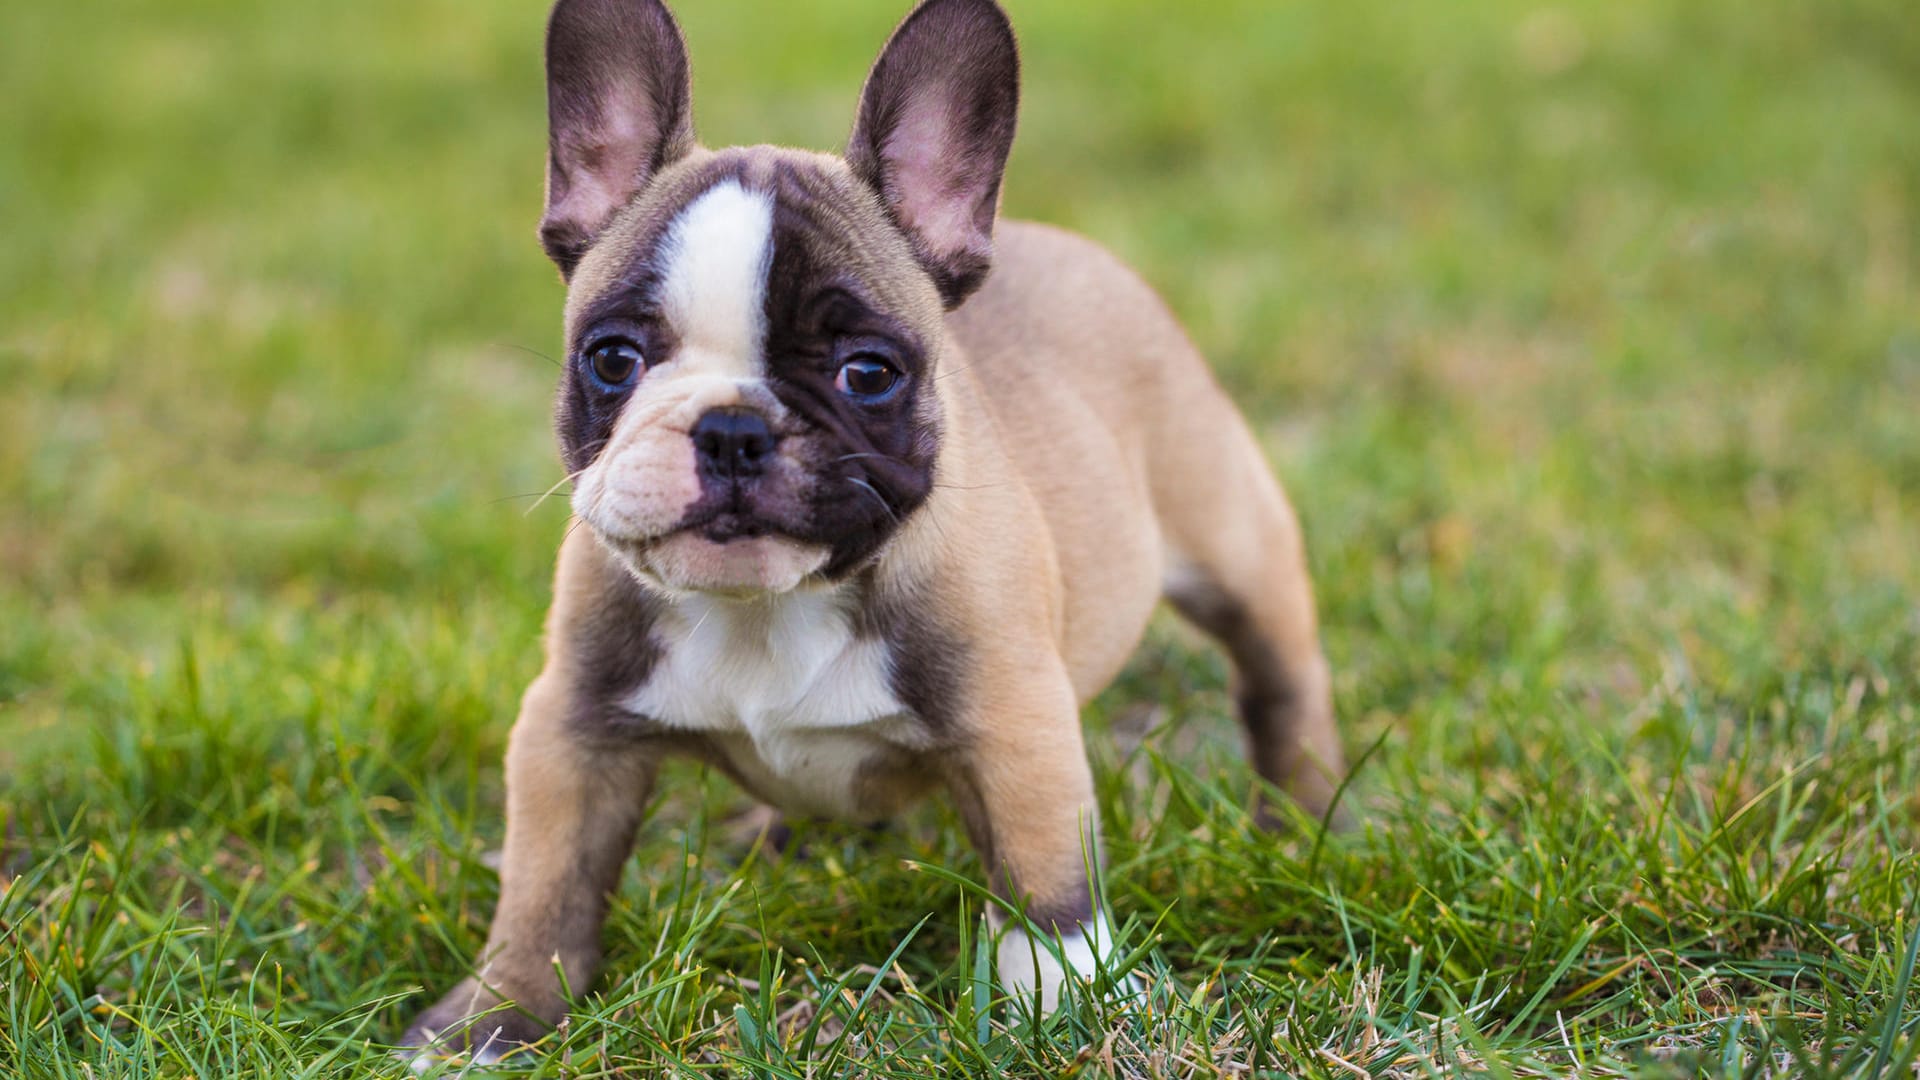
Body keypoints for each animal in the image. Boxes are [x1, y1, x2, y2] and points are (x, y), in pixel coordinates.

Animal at [397, 0, 1344, 1060]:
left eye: (868, 372)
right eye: (611, 358)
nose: (733, 429)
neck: (767, 605)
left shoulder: (1015, 724)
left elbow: (1044, 884)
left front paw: (1067, 1006)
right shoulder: (572, 728)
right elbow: (546, 886)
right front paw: (489, 1020)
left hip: (1235, 540)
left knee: (1280, 677)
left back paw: (1304, 819)